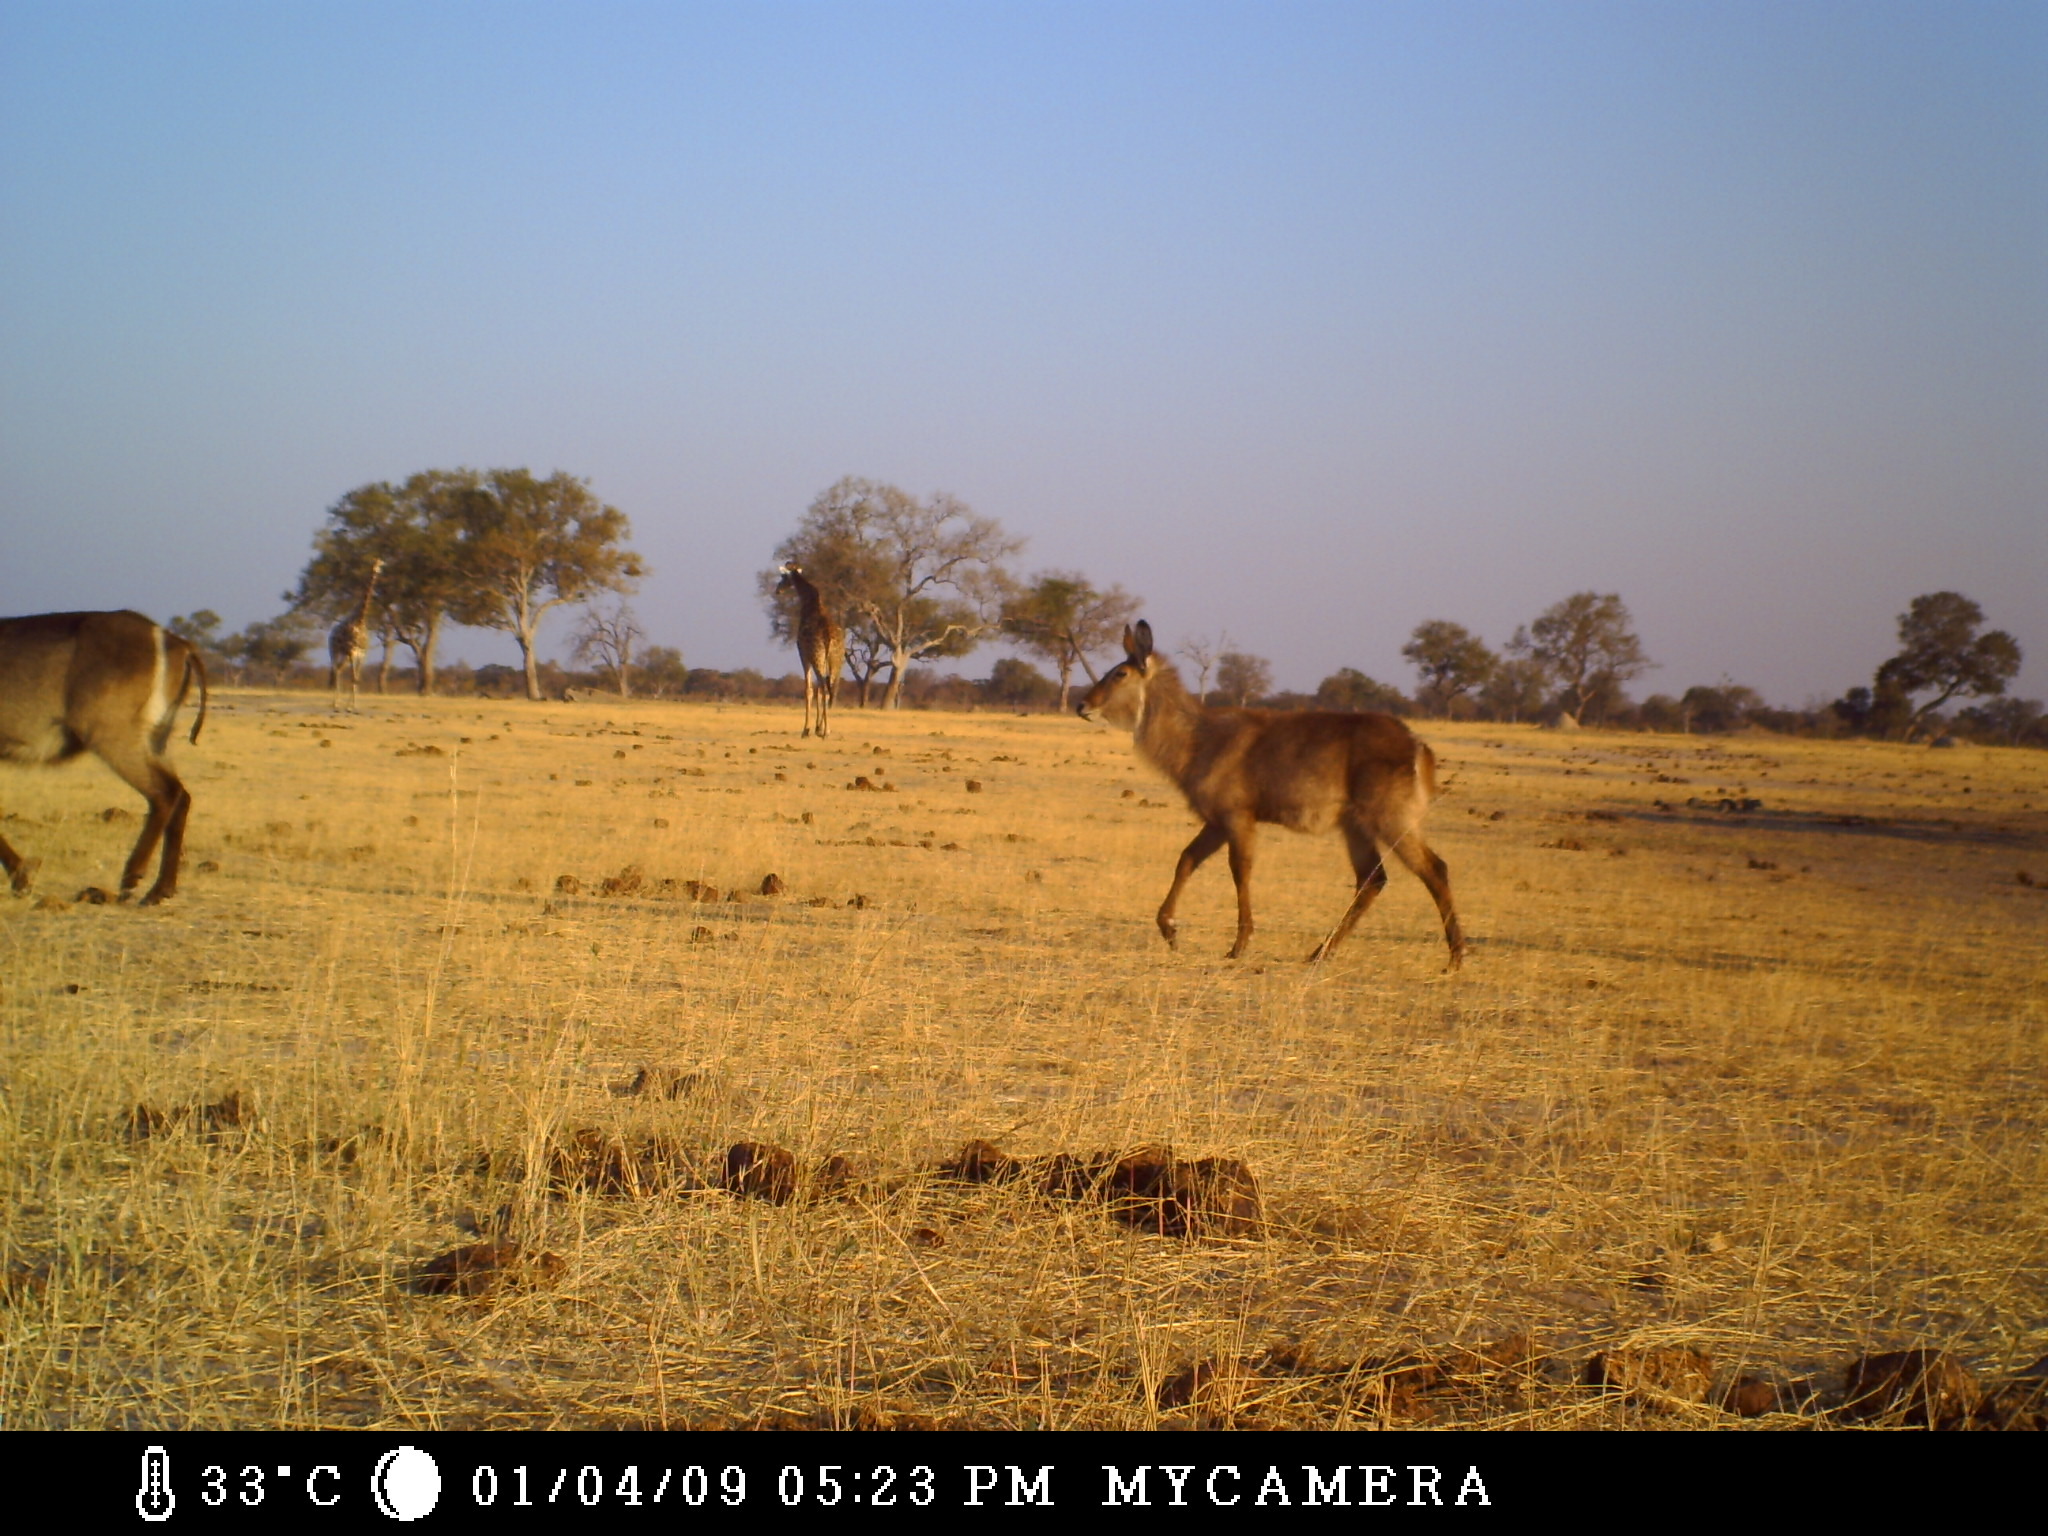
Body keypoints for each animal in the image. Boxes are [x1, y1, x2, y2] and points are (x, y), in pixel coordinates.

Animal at [325, 561, 382, 716]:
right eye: (376, 563)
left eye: (381, 563)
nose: (377, 570)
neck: (359, 620)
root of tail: (331, 634)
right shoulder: (351, 651)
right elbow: (353, 677)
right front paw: (350, 707)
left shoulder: (361, 654)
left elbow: (356, 678)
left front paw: (353, 707)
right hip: (334, 651)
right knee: (335, 671)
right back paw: (335, 705)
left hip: (345, 655)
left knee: (339, 670)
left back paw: (338, 705)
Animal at [782, 561, 847, 741]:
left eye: (782, 577)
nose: (778, 589)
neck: (810, 601)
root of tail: (829, 637)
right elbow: (818, 689)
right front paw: (817, 728)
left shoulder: (803, 654)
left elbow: (809, 690)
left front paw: (807, 730)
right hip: (836, 661)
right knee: (831, 687)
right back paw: (826, 730)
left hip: (817, 658)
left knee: (823, 687)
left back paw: (824, 732)